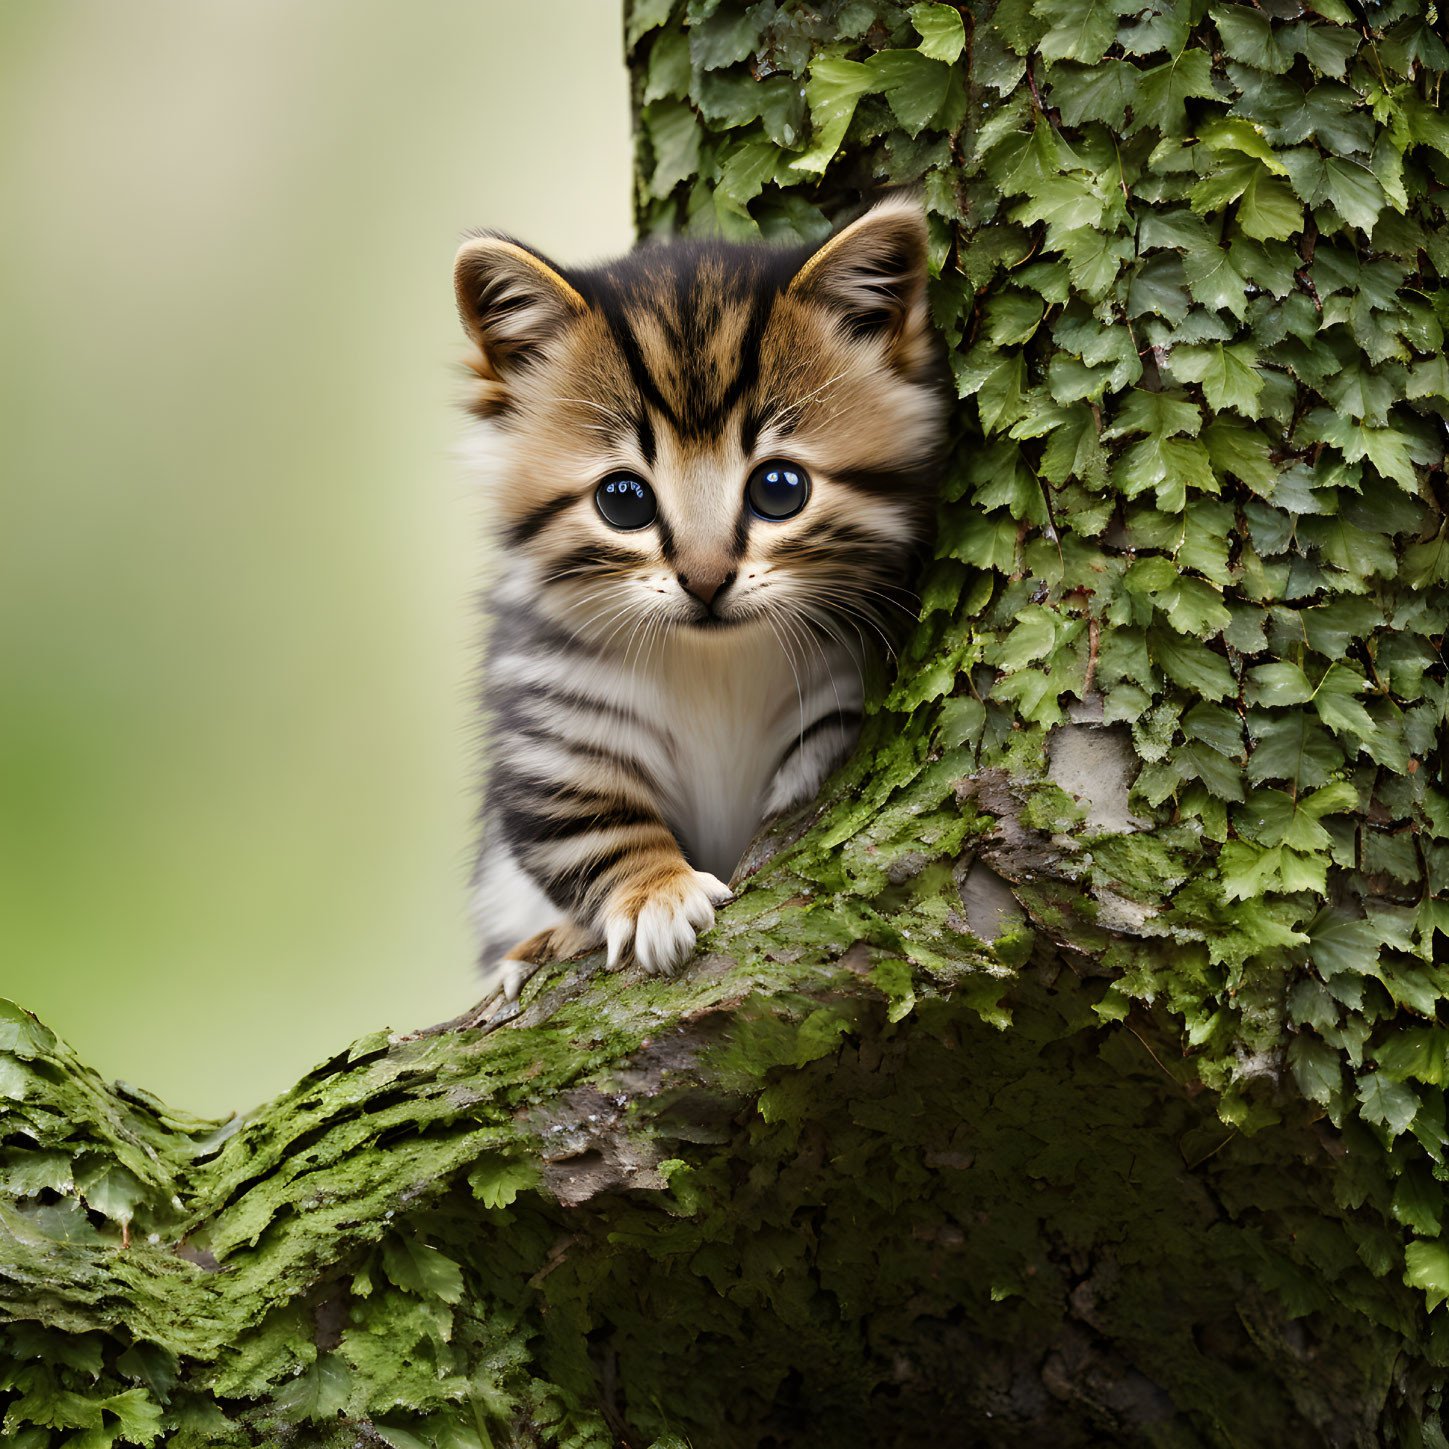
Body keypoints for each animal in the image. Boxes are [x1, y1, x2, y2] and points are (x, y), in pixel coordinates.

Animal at [454, 198, 950, 1020]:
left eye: (780, 488)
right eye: (623, 500)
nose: (706, 580)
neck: (713, 661)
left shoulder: (839, 683)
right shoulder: (552, 724)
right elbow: (588, 823)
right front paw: (656, 893)